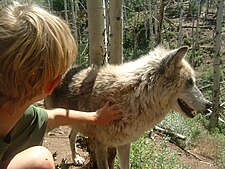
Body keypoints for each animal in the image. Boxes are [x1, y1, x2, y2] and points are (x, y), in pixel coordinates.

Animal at [44, 45, 212, 168]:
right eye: (190, 82)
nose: (209, 104)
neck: (134, 96)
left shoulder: (124, 144)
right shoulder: (100, 145)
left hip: (75, 121)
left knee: (71, 136)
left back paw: (76, 158)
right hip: (52, 121)